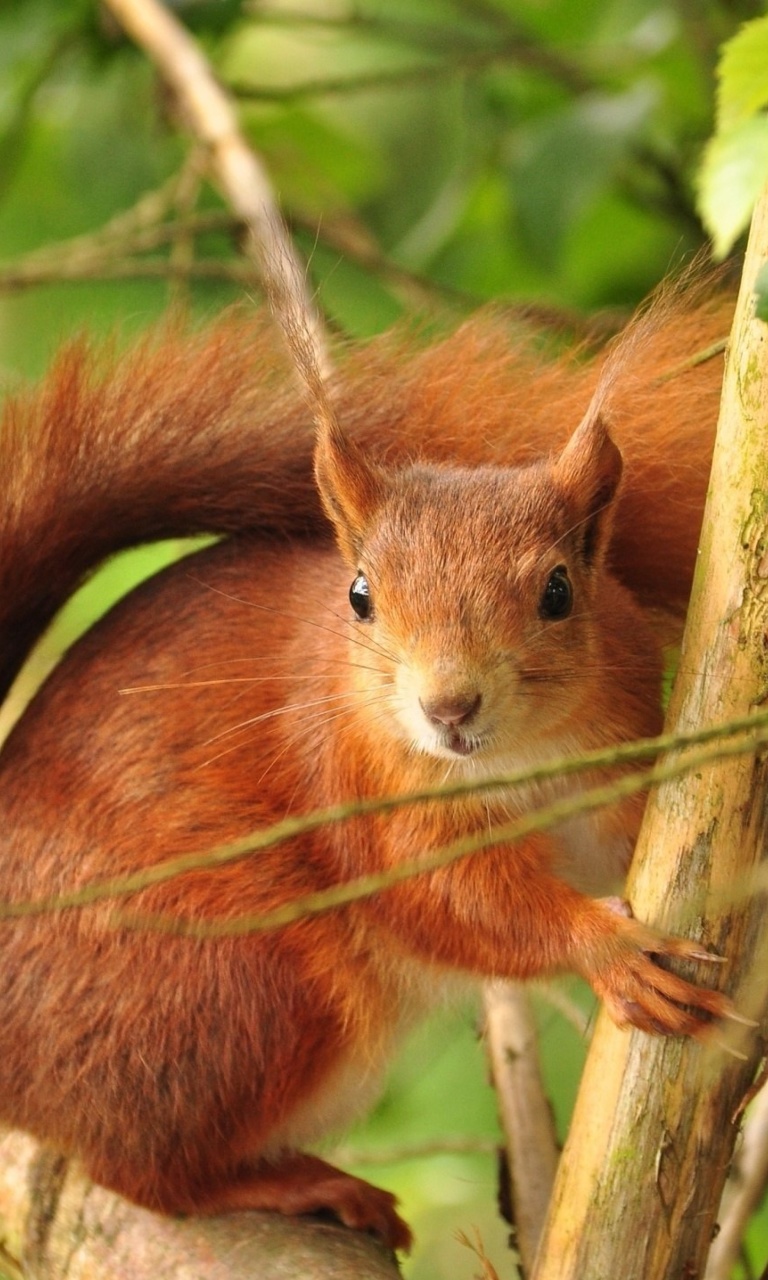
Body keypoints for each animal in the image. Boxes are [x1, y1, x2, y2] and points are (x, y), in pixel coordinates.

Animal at [0, 288, 737, 1249]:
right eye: (360, 595)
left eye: (559, 591)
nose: (449, 707)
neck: (520, 759)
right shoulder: (360, 790)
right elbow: (450, 898)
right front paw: (607, 948)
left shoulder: (615, 752)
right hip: (236, 988)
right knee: (142, 1172)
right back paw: (295, 1184)